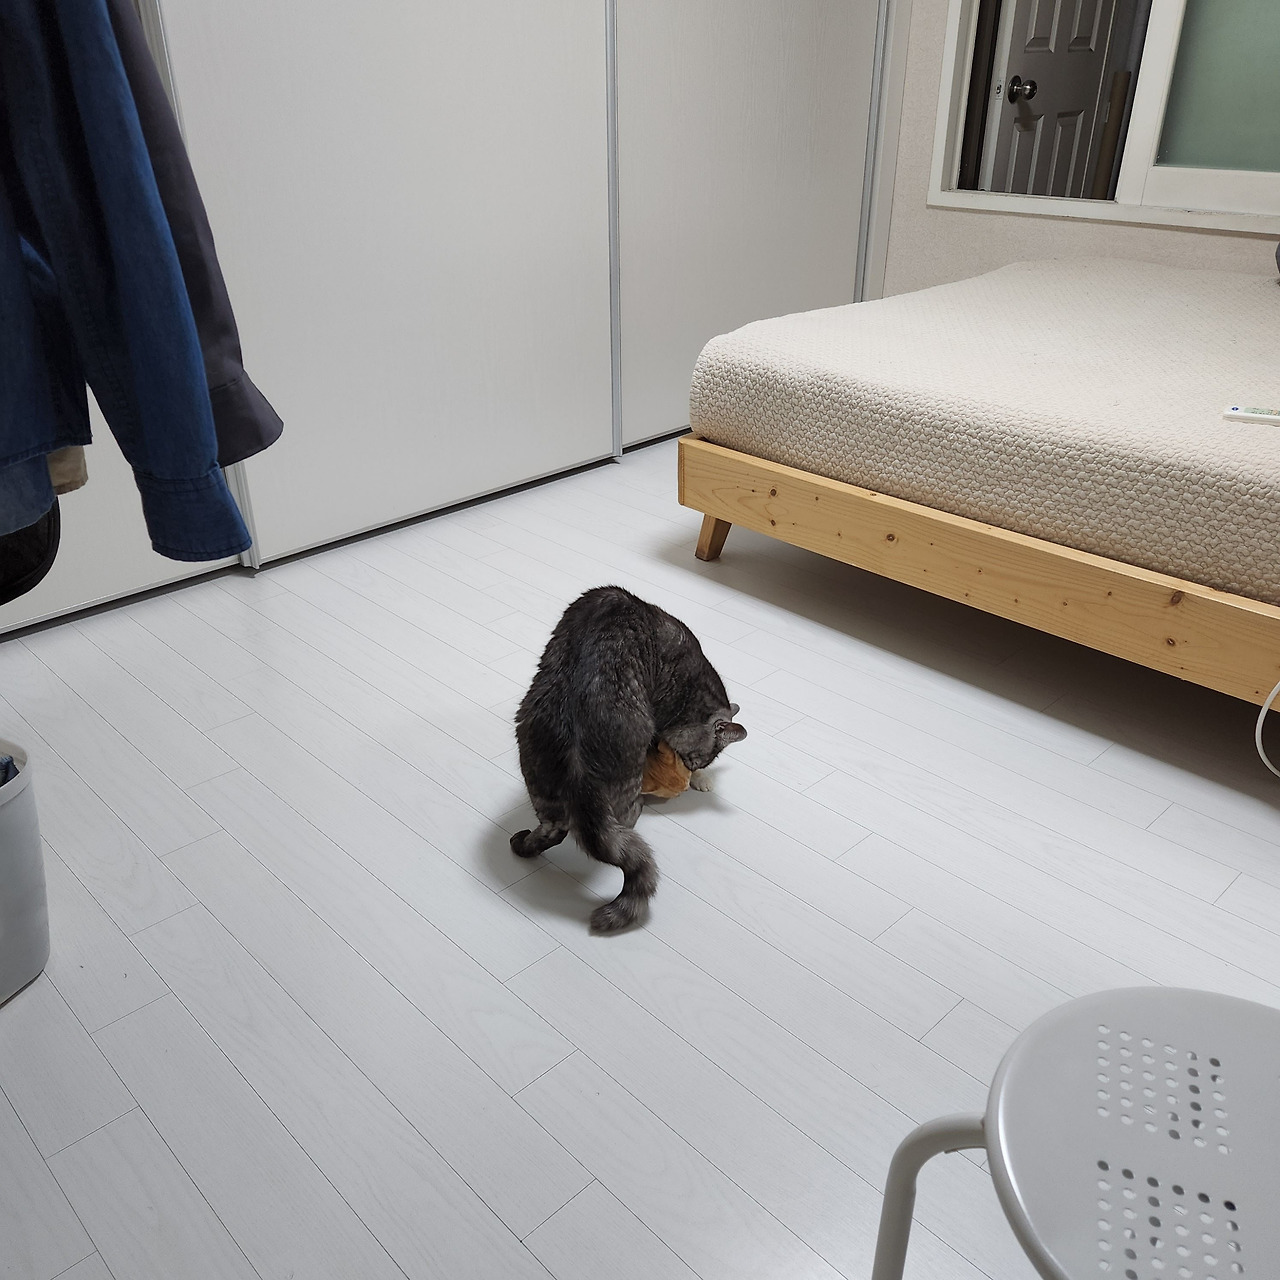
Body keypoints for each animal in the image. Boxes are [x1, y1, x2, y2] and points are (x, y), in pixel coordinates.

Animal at [510, 585, 746, 932]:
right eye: (697, 757)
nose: (692, 769)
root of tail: (577, 764)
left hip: (539, 778)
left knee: (554, 831)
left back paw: (523, 845)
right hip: (624, 787)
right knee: (624, 822)